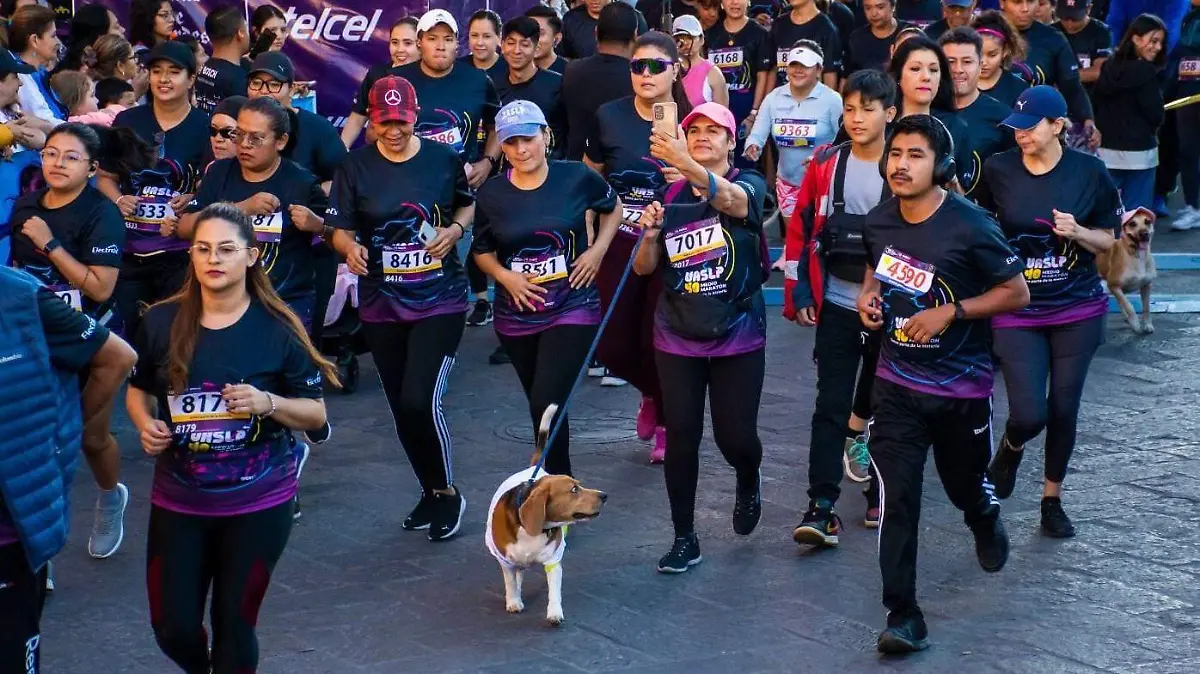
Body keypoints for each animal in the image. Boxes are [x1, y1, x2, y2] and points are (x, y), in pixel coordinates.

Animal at [482, 398, 604, 623]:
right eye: (574, 489)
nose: (604, 495)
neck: (535, 529)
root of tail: (532, 469)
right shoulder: (506, 561)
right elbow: (510, 582)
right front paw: (513, 601)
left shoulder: (553, 561)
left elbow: (554, 591)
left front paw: (555, 612)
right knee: (518, 574)